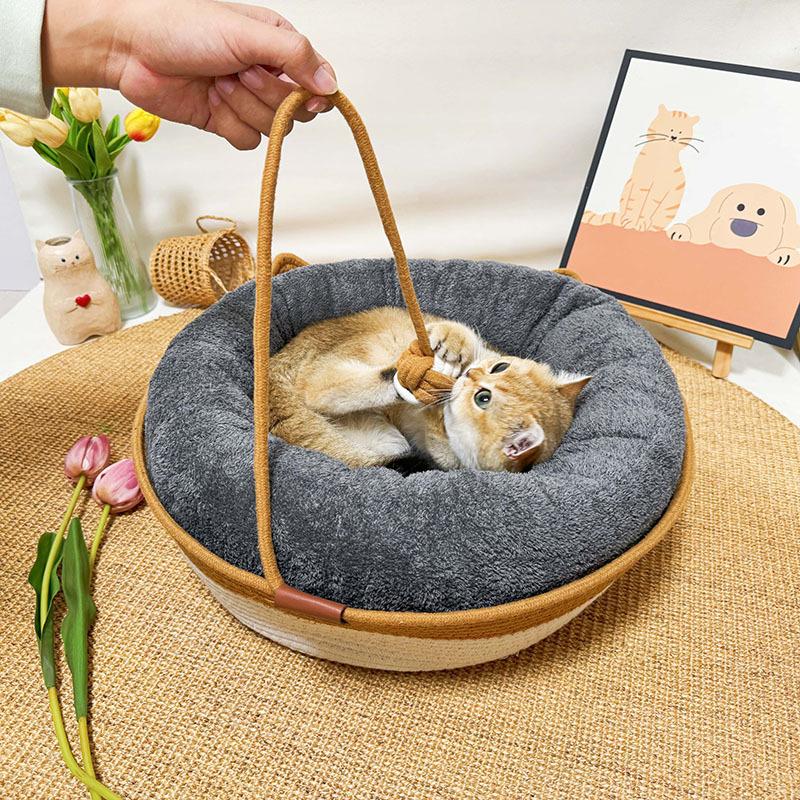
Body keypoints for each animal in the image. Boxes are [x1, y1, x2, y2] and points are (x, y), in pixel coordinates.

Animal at [269, 307, 590, 471]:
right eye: (500, 367)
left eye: (483, 399)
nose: (469, 374)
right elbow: (465, 334)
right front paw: (453, 343)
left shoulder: (446, 457)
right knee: (316, 385)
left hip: (387, 441)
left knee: (317, 387)